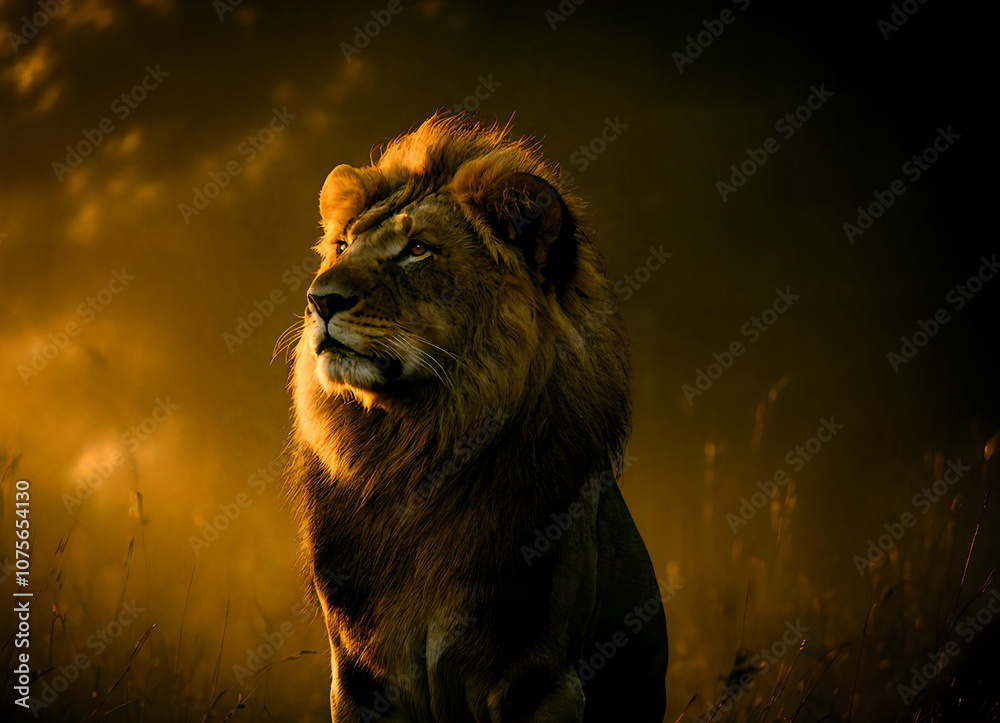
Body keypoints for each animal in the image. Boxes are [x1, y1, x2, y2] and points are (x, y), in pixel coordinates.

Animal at [285, 115, 668, 722]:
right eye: (342, 245)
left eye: (418, 249)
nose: (317, 299)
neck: (415, 448)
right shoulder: (359, 676)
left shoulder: (540, 680)